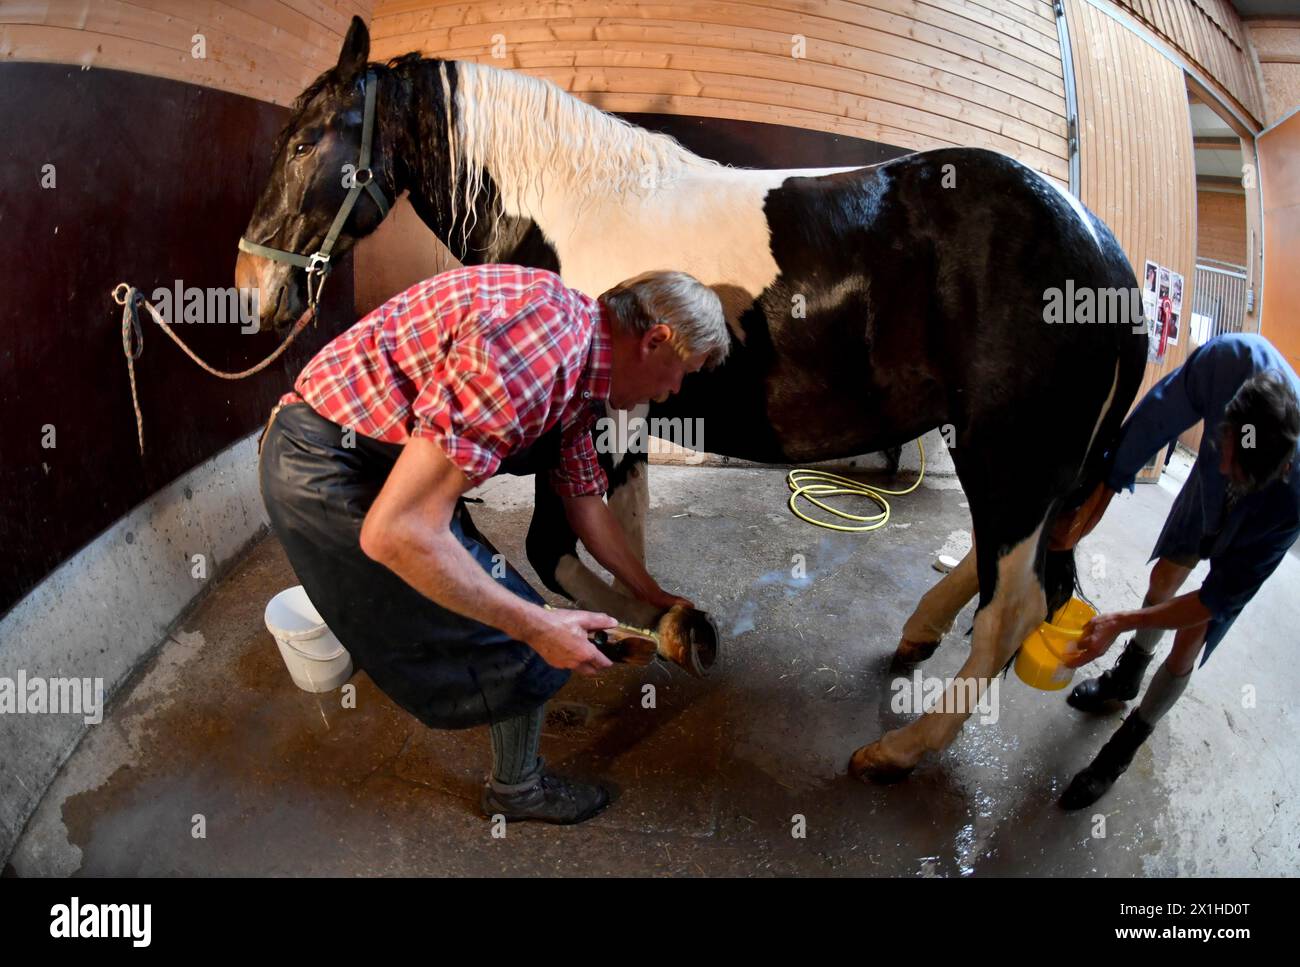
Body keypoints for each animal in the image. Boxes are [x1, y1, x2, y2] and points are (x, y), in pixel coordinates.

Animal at [236, 15, 1149, 779]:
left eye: (307, 141)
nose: (250, 289)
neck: (574, 209)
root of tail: (1104, 251)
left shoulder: (595, 423)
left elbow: (551, 548)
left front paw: (644, 634)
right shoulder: (622, 427)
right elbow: (618, 535)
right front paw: (655, 625)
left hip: (1009, 453)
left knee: (1012, 605)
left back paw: (899, 750)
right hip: (1002, 456)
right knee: (998, 571)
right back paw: (917, 634)